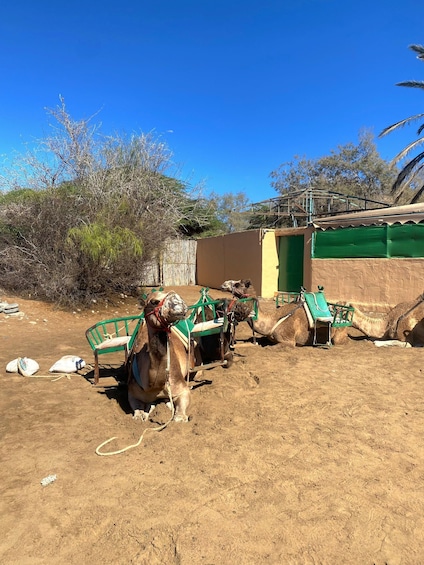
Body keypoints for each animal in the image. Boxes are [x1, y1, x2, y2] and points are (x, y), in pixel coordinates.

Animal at [127, 288, 199, 420]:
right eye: (154, 302)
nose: (179, 302)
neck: (155, 386)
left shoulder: (181, 387)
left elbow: (179, 415)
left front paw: (179, 416)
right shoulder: (132, 390)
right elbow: (137, 411)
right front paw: (141, 415)